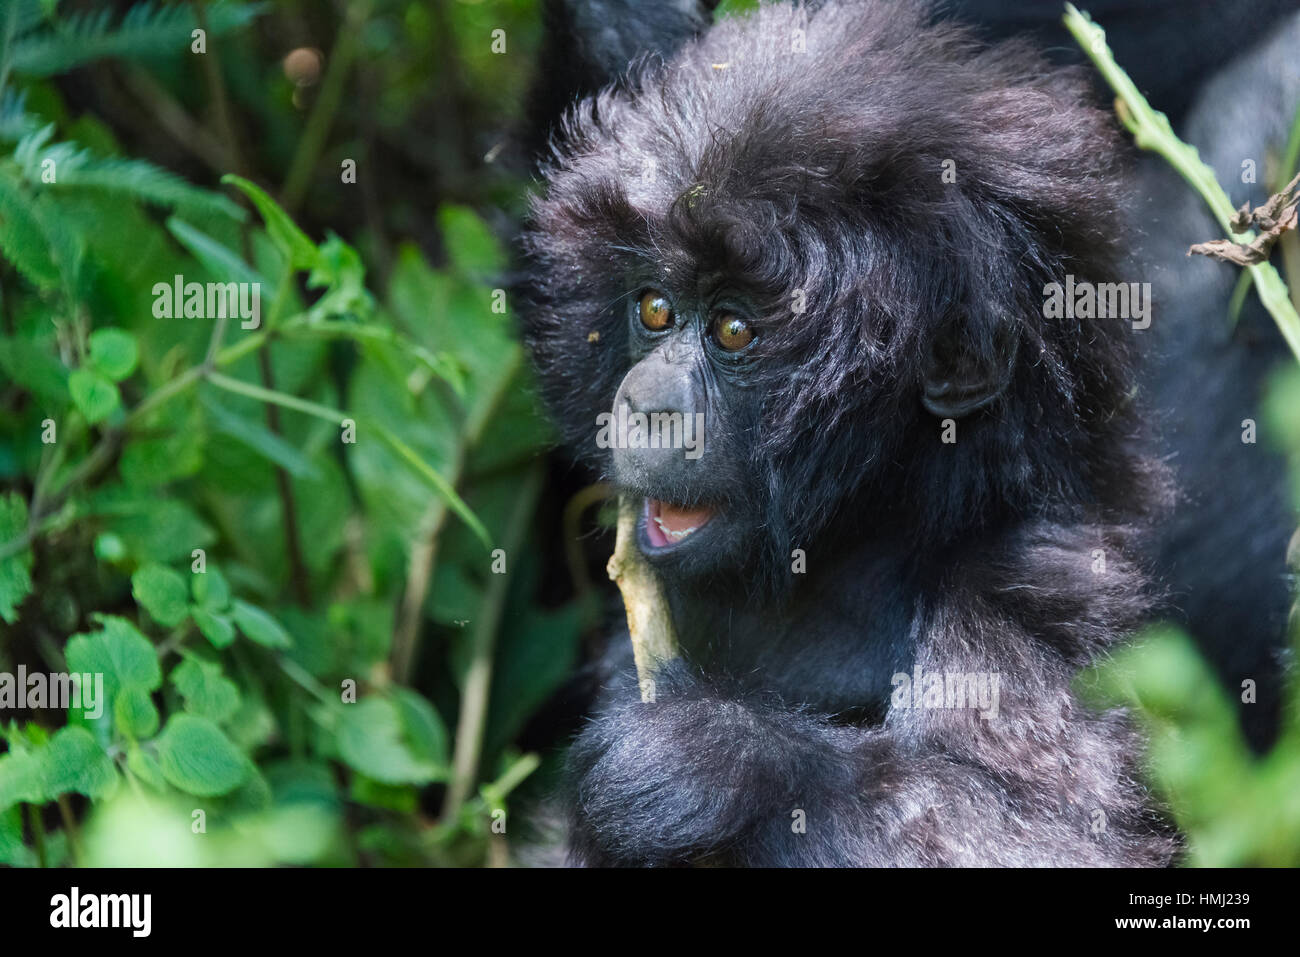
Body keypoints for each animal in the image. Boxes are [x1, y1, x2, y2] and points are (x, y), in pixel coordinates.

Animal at [517, 0, 1180, 868]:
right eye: (655, 308)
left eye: (733, 330)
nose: (645, 402)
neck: (861, 534)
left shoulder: (1033, 583)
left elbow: (1051, 827)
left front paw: (702, 762)